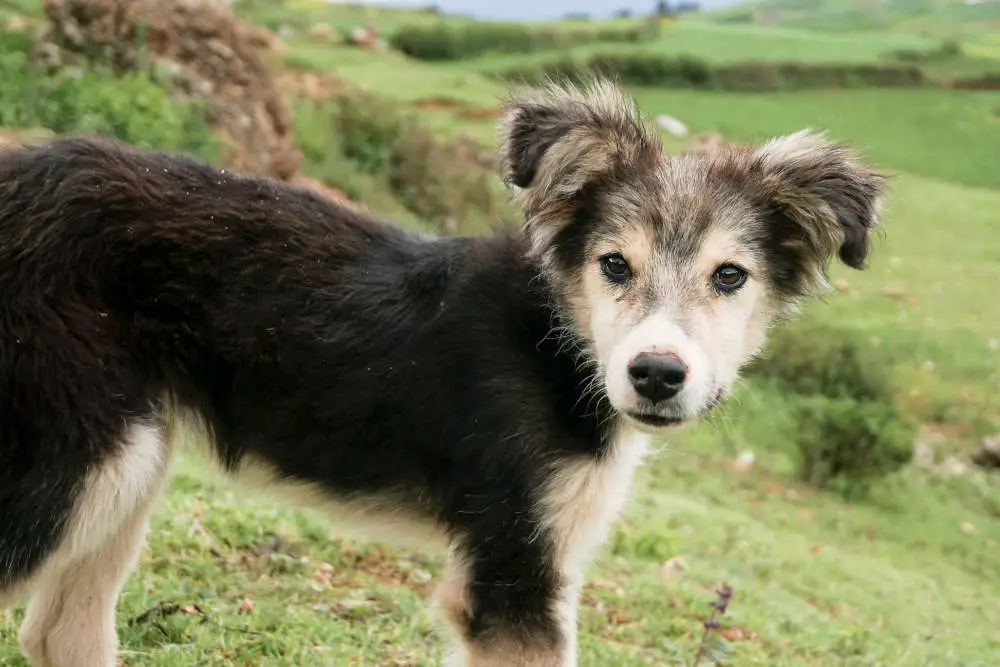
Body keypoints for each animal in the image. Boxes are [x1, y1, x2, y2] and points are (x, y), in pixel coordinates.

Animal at [0, 79, 888, 667]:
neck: (558, 341)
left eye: (730, 277)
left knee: (61, 628)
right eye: (614, 265)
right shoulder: (511, 573)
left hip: (127, 458)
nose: (657, 375)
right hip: (80, 454)